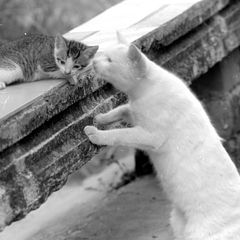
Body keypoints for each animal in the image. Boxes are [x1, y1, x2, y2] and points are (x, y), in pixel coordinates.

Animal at [84, 33, 240, 240]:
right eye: (103, 54)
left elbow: (120, 133)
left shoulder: (149, 136)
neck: (142, 91)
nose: (94, 62)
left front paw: (95, 133)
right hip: (176, 221)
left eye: (109, 60)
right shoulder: (134, 114)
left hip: (200, 232)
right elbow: (122, 109)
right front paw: (101, 118)